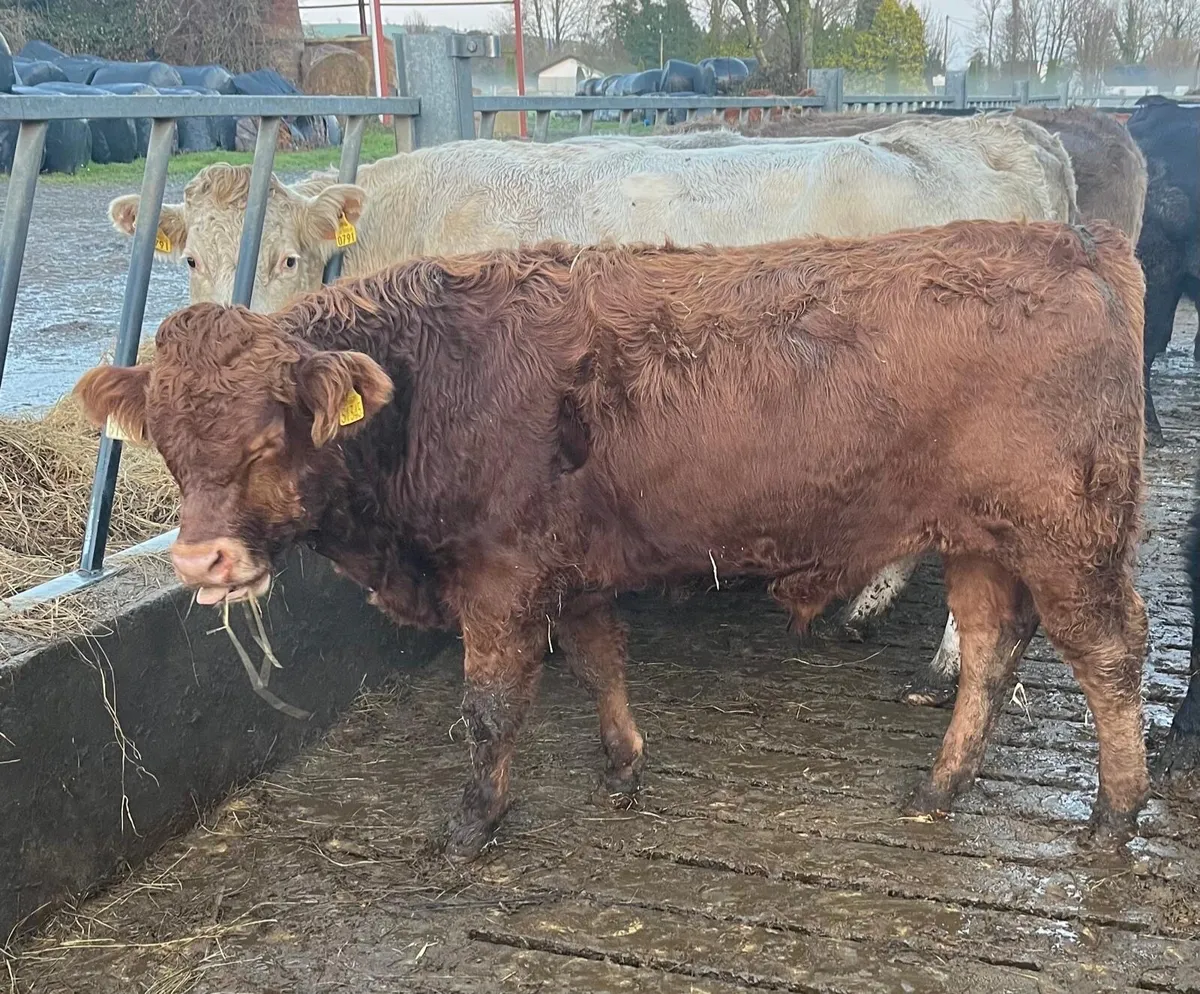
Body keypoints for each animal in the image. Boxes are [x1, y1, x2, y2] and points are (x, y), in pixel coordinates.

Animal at [74, 218, 1149, 860]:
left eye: (270, 436)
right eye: (165, 442)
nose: (202, 561)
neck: (434, 379)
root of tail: (1078, 246)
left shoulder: (501, 577)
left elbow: (489, 711)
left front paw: (471, 825)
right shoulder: (572, 565)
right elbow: (599, 659)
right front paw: (623, 765)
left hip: (1070, 535)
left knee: (1108, 653)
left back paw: (1116, 811)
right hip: (982, 539)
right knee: (991, 649)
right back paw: (941, 785)